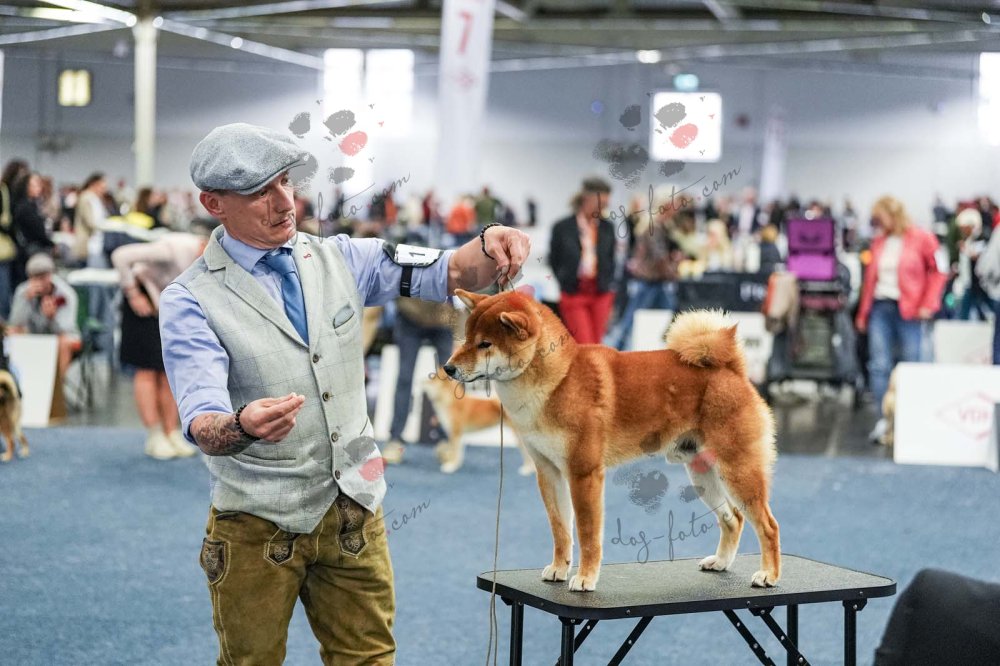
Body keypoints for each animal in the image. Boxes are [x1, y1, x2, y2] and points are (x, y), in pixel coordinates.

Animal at [445, 289, 780, 592]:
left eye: (485, 344)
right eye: (465, 338)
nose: (448, 368)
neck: (557, 381)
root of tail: (731, 368)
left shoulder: (584, 473)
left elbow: (587, 534)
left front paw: (585, 578)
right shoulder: (548, 472)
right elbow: (560, 530)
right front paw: (558, 569)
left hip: (737, 471)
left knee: (767, 525)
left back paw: (769, 575)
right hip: (702, 475)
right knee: (733, 518)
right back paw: (720, 562)